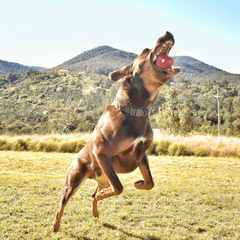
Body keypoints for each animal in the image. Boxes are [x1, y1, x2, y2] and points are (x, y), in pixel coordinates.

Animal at [51, 31, 179, 232]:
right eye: (145, 50)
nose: (167, 32)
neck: (135, 110)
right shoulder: (101, 151)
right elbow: (119, 187)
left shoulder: (142, 154)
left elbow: (150, 182)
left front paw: (139, 183)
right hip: (74, 180)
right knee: (62, 204)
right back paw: (55, 226)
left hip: (103, 177)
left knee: (94, 192)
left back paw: (96, 211)